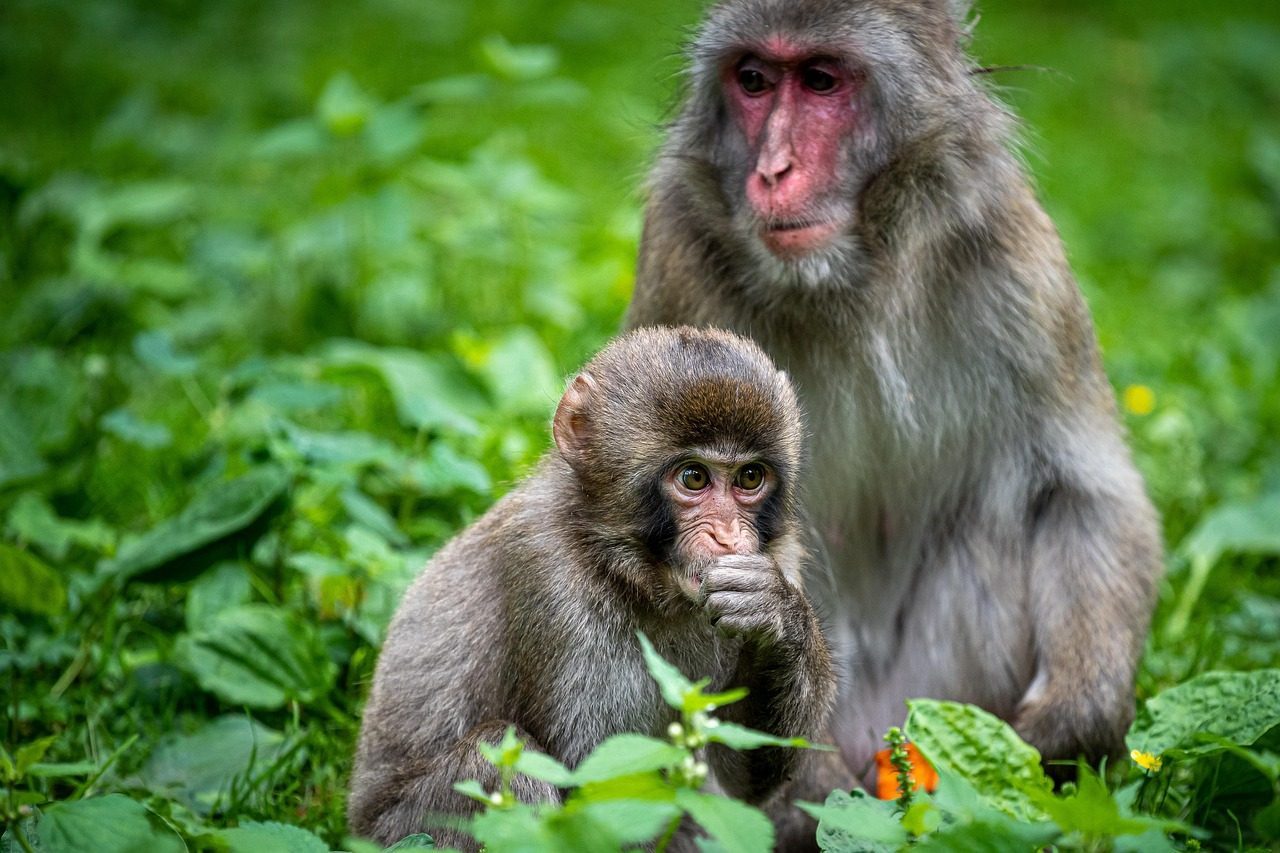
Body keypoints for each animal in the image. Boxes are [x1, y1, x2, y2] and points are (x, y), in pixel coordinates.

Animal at [347, 326, 836, 848]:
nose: (728, 536)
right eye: (693, 477)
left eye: (749, 476)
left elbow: (738, 780)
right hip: (401, 829)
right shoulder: (549, 576)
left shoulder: (780, 556)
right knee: (500, 759)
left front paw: (777, 612)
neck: (633, 571)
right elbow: (599, 790)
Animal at [625, 0, 1162, 786]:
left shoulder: (1011, 248)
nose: (772, 170)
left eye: (820, 81)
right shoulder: (678, 251)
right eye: (753, 80)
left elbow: (1081, 491)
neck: (849, 277)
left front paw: (1071, 721)